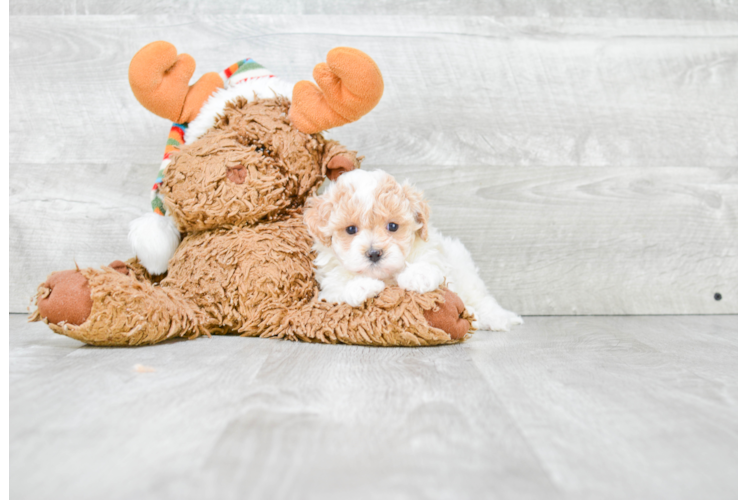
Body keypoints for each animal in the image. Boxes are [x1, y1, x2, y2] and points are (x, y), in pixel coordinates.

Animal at [300, 169, 524, 332]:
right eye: (350, 230)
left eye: (392, 226)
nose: (374, 253)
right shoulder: (328, 283)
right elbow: (338, 286)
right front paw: (360, 286)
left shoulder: (433, 252)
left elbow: (429, 263)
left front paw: (418, 276)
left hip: (466, 271)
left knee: (481, 298)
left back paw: (496, 318)